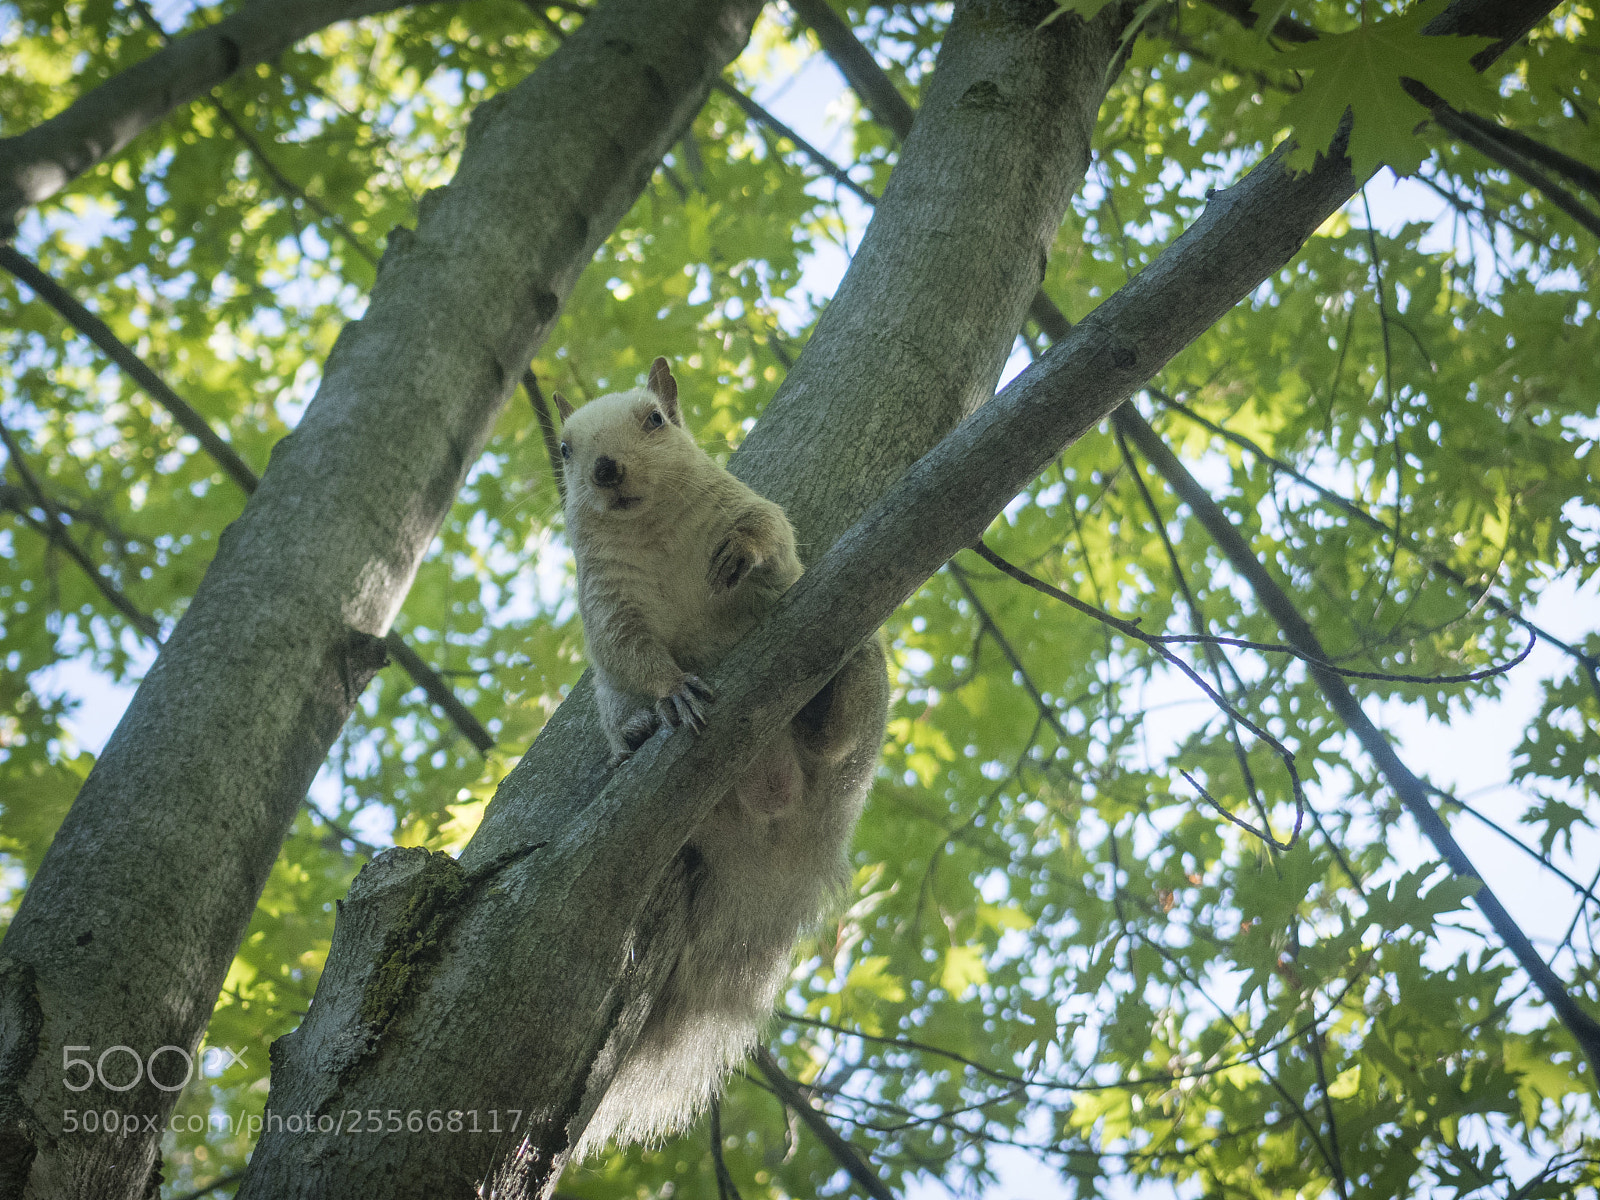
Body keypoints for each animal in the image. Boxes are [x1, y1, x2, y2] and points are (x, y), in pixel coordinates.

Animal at [553, 358, 888, 1155]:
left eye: (655, 420)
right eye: (565, 450)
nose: (606, 470)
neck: (650, 528)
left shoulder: (743, 503)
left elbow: (771, 530)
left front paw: (745, 555)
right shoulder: (606, 602)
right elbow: (630, 652)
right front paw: (671, 695)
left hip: (859, 701)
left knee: (839, 732)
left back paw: (827, 706)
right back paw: (635, 739)